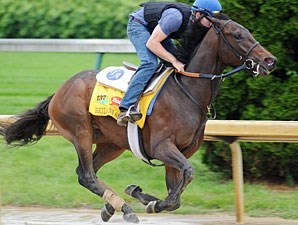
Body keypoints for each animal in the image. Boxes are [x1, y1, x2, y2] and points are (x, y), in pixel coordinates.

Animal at [0, 16, 276, 223]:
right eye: (237, 35)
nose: (269, 60)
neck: (188, 90)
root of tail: (59, 90)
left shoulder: (179, 152)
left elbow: (177, 191)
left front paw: (145, 196)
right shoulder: (162, 147)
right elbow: (186, 176)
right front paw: (149, 201)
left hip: (111, 143)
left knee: (86, 172)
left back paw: (112, 206)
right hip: (80, 131)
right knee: (86, 174)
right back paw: (125, 209)